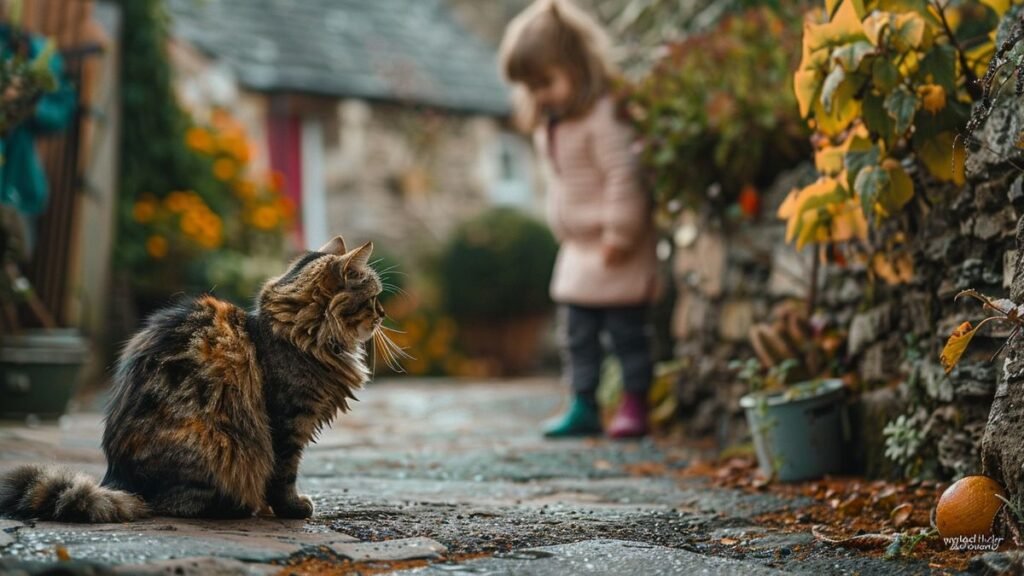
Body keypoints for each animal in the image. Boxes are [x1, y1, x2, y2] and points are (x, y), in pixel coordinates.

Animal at [0, 233, 399, 520]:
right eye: (373, 298)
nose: (383, 314)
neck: (300, 333)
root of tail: (119, 478)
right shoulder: (288, 422)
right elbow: (283, 475)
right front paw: (292, 509)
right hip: (217, 444)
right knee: (178, 504)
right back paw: (238, 508)